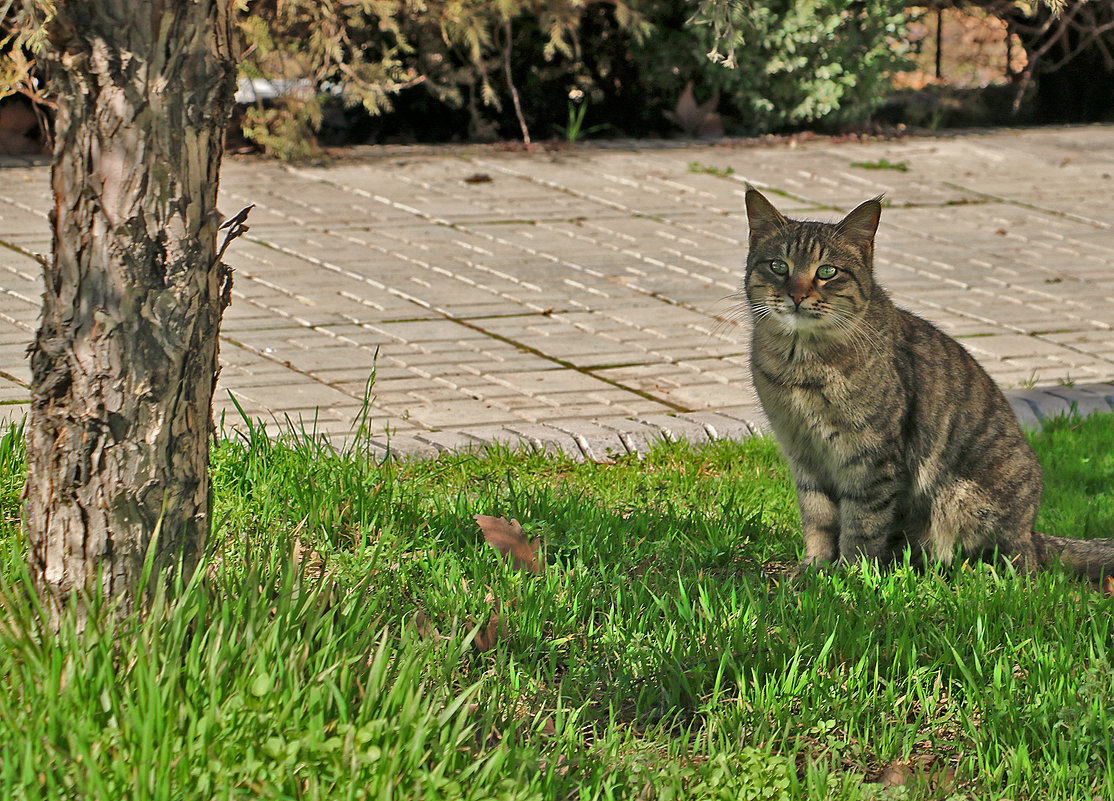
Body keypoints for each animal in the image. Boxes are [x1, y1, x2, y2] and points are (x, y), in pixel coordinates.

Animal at [739, 191, 1114, 583]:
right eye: (779, 266)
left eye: (827, 271)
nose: (796, 295)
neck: (801, 365)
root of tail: (1032, 531)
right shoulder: (805, 455)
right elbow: (818, 521)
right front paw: (812, 571)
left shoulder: (871, 458)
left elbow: (861, 524)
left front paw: (850, 576)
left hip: (967, 500)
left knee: (1013, 562)